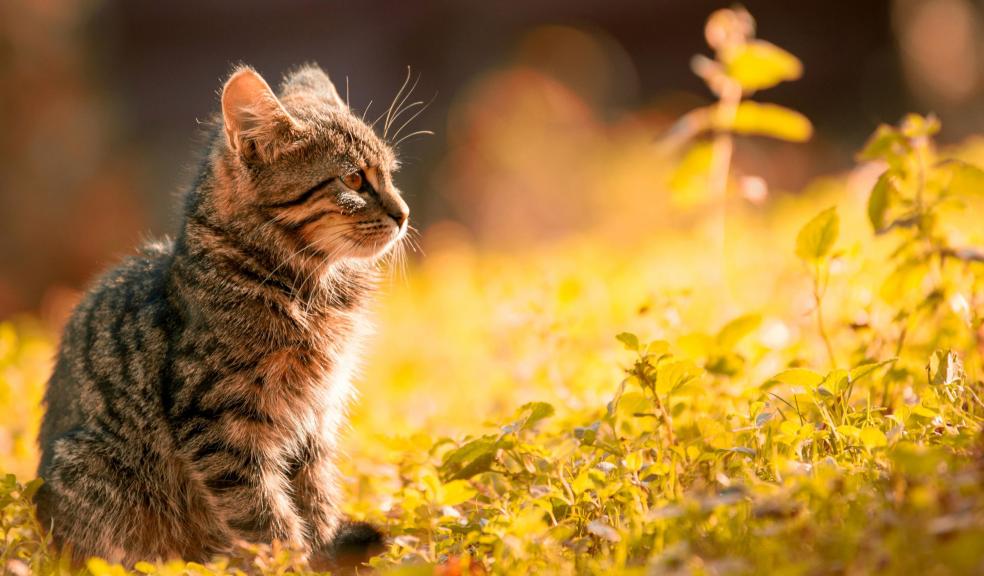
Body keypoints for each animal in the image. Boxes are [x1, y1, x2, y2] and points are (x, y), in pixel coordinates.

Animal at [34, 64, 404, 568]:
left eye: (390, 174)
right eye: (352, 180)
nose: (404, 214)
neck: (311, 290)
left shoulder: (315, 419)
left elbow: (317, 498)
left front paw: (324, 552)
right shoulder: (220, 425)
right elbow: (265, 516)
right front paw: (289, 564)